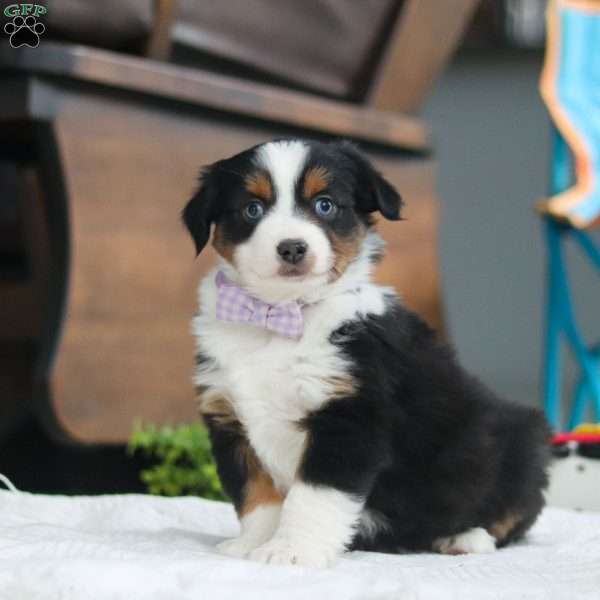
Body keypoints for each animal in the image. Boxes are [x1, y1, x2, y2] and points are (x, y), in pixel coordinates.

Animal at [182, 139, 548, 568]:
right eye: (252, 209)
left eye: (325, 204)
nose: (292, 248)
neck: (280, 320)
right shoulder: (230, 418)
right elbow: (256, 495)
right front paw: (253, 544)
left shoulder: (349, 417)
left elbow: (313, 497)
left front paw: (292, 550)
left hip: (519, 441)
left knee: (513, 515)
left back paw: (465, 537)